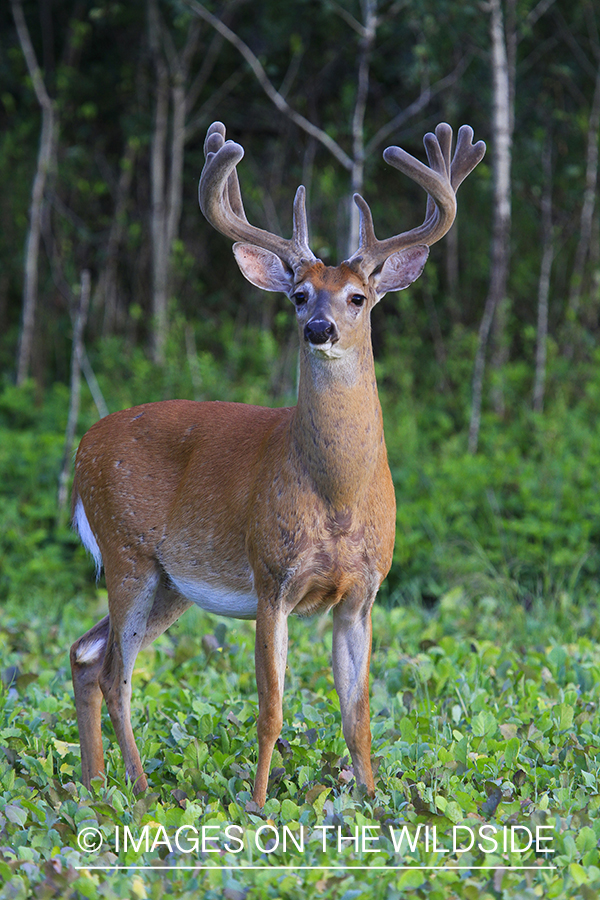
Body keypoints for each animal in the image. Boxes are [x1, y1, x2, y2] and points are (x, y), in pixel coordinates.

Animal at [69, 121, 482, 808]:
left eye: (358, 297)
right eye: (298, 294)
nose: (319, 327)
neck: (337, 496)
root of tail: (81, 448)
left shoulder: (363, 592)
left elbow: (358, 712)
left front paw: (373, 803)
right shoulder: (271, 578)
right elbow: (271, 708)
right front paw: (260, 804)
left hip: (171, 583)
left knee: (84, 652)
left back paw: (95, 785)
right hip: (127, 551)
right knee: (115, 674)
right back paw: (141, 793)